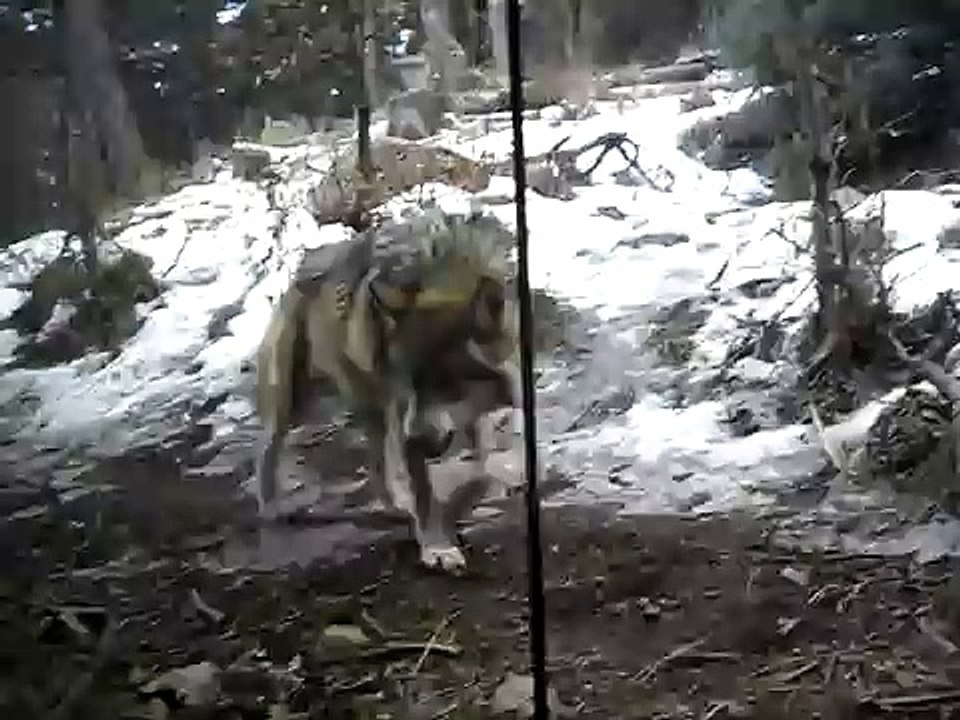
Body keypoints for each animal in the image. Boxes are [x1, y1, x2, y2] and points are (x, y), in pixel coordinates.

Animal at [254, 218, 521, 571]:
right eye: (408, 383)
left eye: (446, 384)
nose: (417, 438)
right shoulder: (405, 419)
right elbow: (425, 494)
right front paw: (437, 548)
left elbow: (482, 465)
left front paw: (469, 499)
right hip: (297, 403)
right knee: (267, 449)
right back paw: (271, 508)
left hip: (374, 413)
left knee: (376, 466)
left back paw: (395, 507)